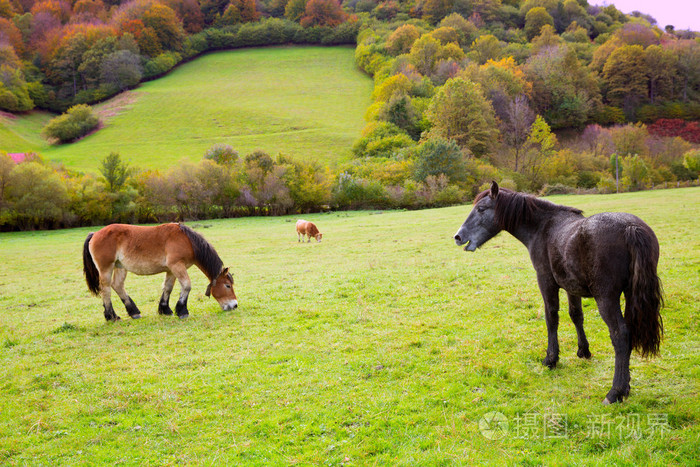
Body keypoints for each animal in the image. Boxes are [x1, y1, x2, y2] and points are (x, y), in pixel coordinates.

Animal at [83, 223, 238, 321]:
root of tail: (95, 234)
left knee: (118, 286)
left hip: (120, 267)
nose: (234, 305)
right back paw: (112, 316)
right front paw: (182, 311)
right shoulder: (177, 266)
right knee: (106, 289)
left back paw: (134, 312)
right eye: (227, 286)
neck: (187, 241)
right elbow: (186, 285)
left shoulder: (171, 270)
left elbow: (168, 288)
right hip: (106, 268)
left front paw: (165, 310)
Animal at [453, 181, 663, 404]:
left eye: (481, 209)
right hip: (630, 295)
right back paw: (626, 386)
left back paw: (615, 391)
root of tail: (631, 228)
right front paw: (583, 350)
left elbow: (551, 318)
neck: (543, 228)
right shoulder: (572, 287)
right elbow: (576, 315)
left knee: (620, 334)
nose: (458, 236)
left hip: (606, 298)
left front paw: (551, 359)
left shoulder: (547, 283)